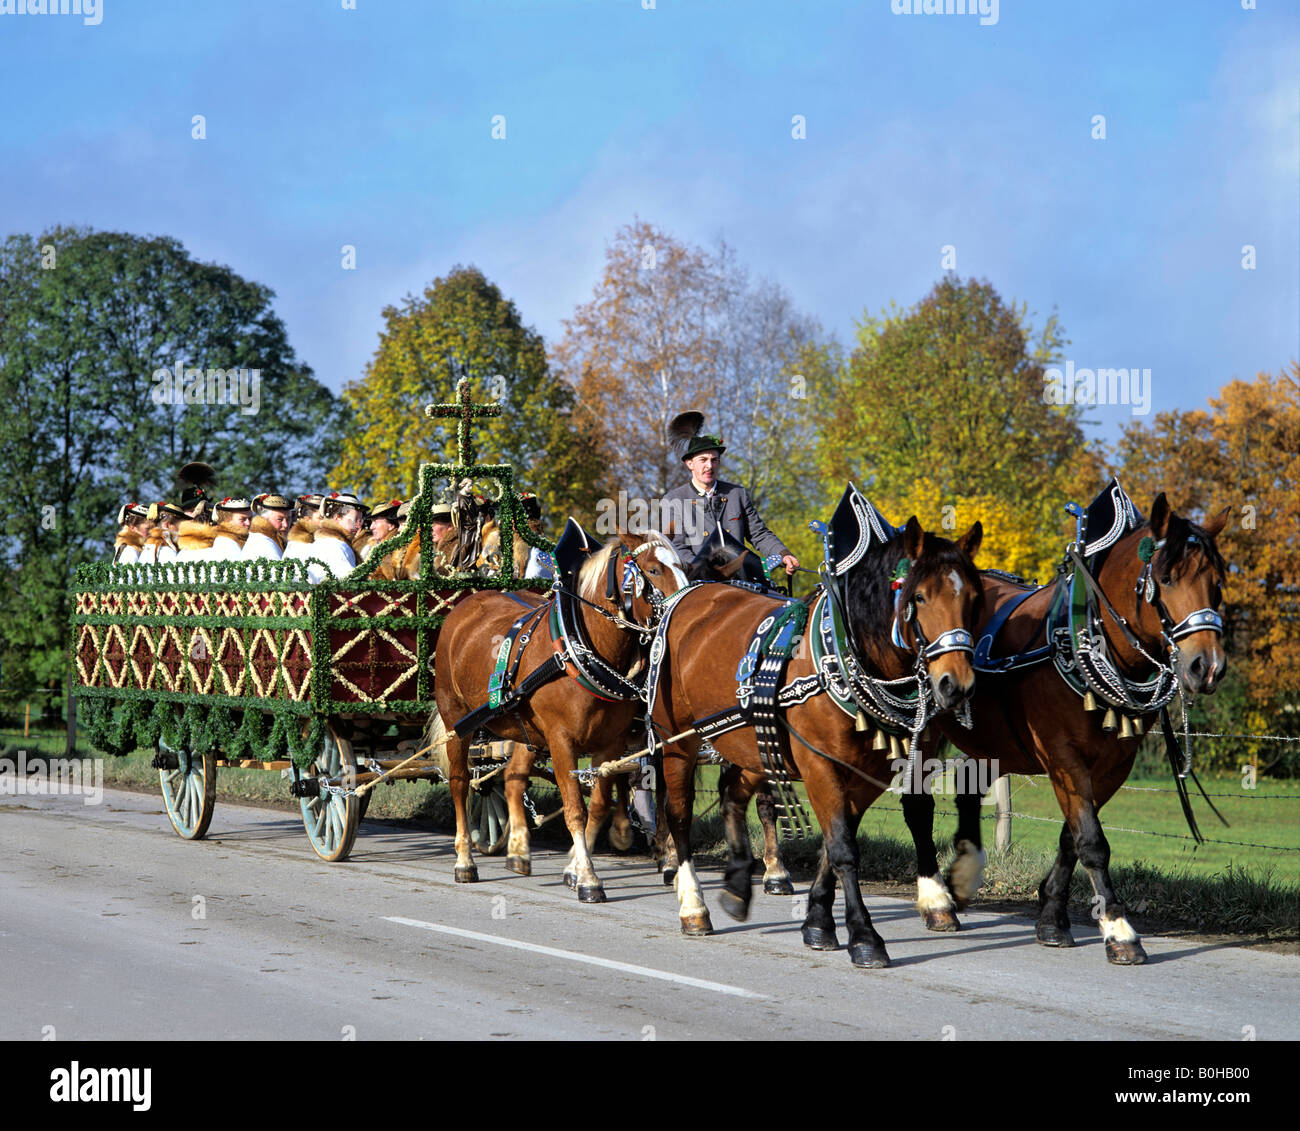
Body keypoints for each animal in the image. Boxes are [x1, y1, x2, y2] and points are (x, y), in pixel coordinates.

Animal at [431, 527, 686, 909]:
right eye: (653, 570)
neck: (579, 649)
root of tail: (463, 607)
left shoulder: (611, 743)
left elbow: (598, 805)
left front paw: (576, 869)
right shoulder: (562, 741)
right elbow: (574, 809)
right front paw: (590, 880)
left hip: (526, 732)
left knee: (513, 779)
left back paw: (519, 853)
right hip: (458, 723)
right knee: (461, 784)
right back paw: (464, 861)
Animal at [644, 486, 977, 967]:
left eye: (974, 597)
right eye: (919, 597)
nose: (956, 684)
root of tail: (694, 592)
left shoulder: (872, 770)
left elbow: (841, 838)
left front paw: (818, 922)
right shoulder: (820, 763)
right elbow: (842, 848)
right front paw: (864, 937)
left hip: (750, 742)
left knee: (733, 795)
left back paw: (738, 885)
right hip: (676, 741)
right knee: (678, 813)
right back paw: (693, 905)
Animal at [904, 486, 1227, 967]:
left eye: (1218, 582)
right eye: (1166, 579)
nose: (1207, 666)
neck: (1082, 640)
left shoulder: (1114, 764)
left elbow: (1072, 838)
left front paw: (1052, 916)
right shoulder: (1062, 755)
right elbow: (1092, 841)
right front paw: (1119, 929)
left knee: (966, 785)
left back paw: (961, 875)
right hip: (924, 727)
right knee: (917, 802)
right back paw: (936, 900)